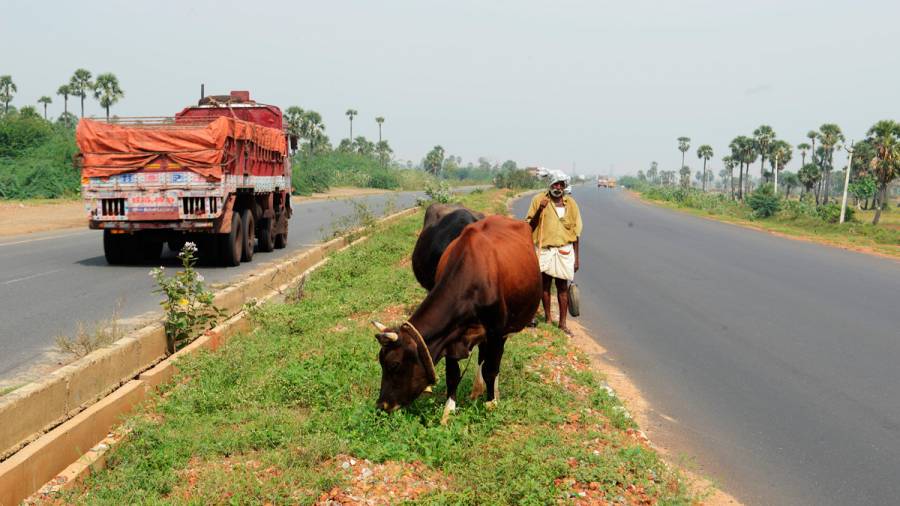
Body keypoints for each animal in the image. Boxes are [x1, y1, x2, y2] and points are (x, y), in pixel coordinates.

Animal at [372, 214, 540, 422]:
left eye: (394, 364)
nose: (382, 405)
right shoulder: (450, 336)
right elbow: (453, 374)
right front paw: (448, 411)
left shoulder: (495, 332)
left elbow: (491, 369)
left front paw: (491, 404)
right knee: (483, 356)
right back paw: (477, 389)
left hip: (507, 328)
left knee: (493, 361)